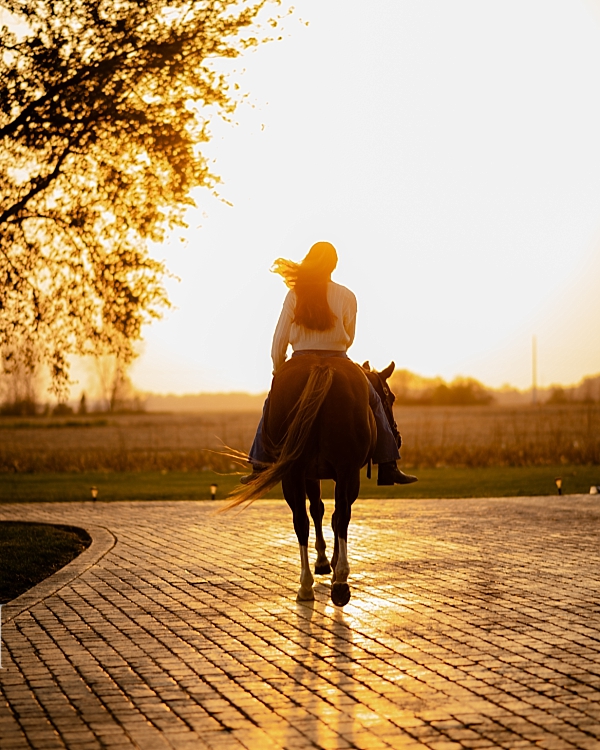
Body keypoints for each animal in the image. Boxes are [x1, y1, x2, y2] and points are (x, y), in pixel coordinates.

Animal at [225, 356, 398, 608]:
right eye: (391, 397)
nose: (396, 434)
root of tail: (321, 366)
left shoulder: (310, 473)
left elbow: (318, 510)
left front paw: (325, 561)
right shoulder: (343, 475)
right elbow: (332, 514)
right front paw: (329, 563)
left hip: (294, 472)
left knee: (301, 520)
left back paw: (306, 586)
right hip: (343, 470)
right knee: (339, 515)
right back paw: (339, 582)